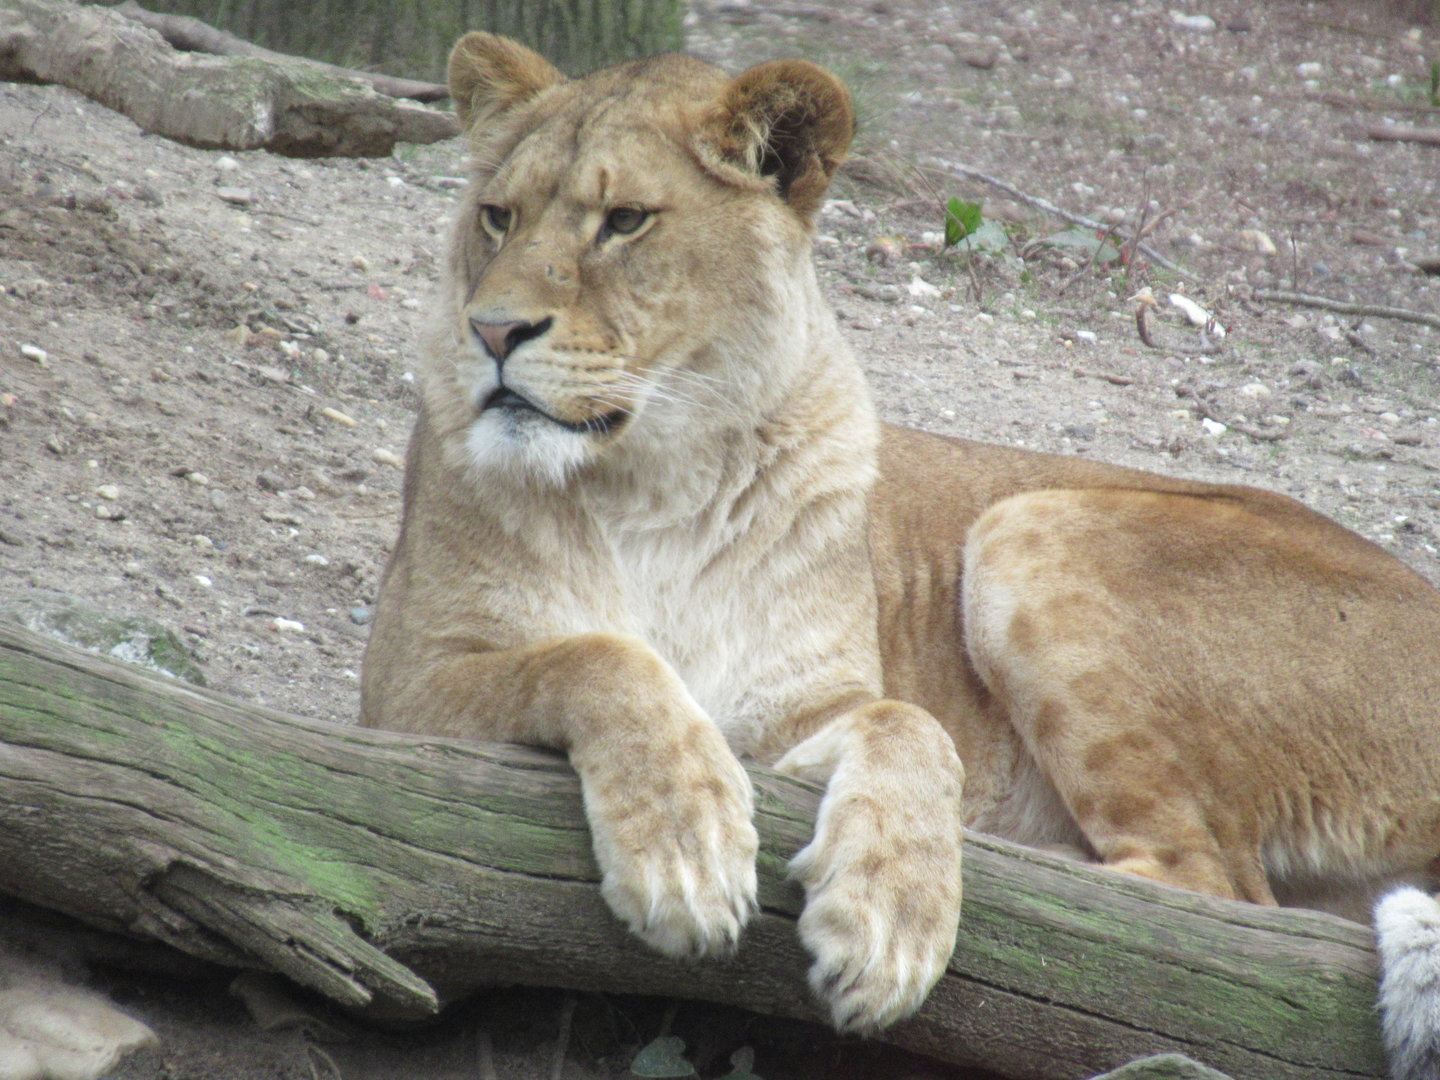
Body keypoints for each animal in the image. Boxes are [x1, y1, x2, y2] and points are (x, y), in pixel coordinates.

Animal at [360, 32, 1440, 1071]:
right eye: (497, 217)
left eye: (625, 220)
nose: (492, 330)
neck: (652, 477)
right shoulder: (403, 696)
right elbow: (599, 656)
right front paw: (687, 845)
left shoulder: (807, 701)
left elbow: (912, 725)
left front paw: (888, 920)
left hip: (1030, 525)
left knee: (1203, 890)